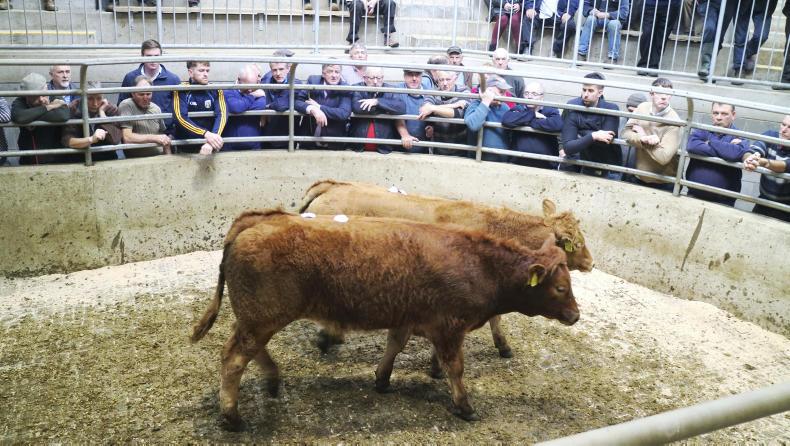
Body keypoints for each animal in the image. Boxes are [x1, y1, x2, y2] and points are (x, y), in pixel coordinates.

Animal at [191, 209, 579, 430]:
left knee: (247, 349)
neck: (479, 264)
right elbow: (455, 368)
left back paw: (272, 380)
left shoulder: (408, 315)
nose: (575, 315)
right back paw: (232, 417)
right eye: (561, 287)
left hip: (256, 318)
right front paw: (465, 405)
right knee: (233, 359)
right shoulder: (450, 327)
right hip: (262, 318)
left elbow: (395, 345)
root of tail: (259, 221)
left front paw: (382, 379)